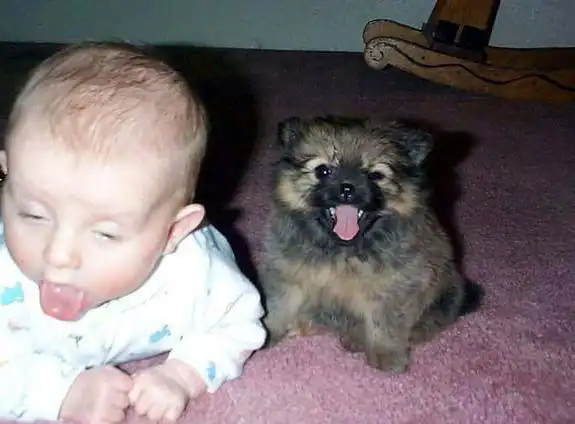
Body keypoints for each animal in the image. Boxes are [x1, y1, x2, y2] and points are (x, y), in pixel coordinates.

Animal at [259, 116, 468, 373]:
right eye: (323, 170)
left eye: (375, 175)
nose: (347, 187)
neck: (343, 251)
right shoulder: (288, 273)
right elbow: (279, 305)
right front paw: (266, 332)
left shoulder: (395, 286)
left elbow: (386, 321)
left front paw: (386, 354)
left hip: (446, 297)